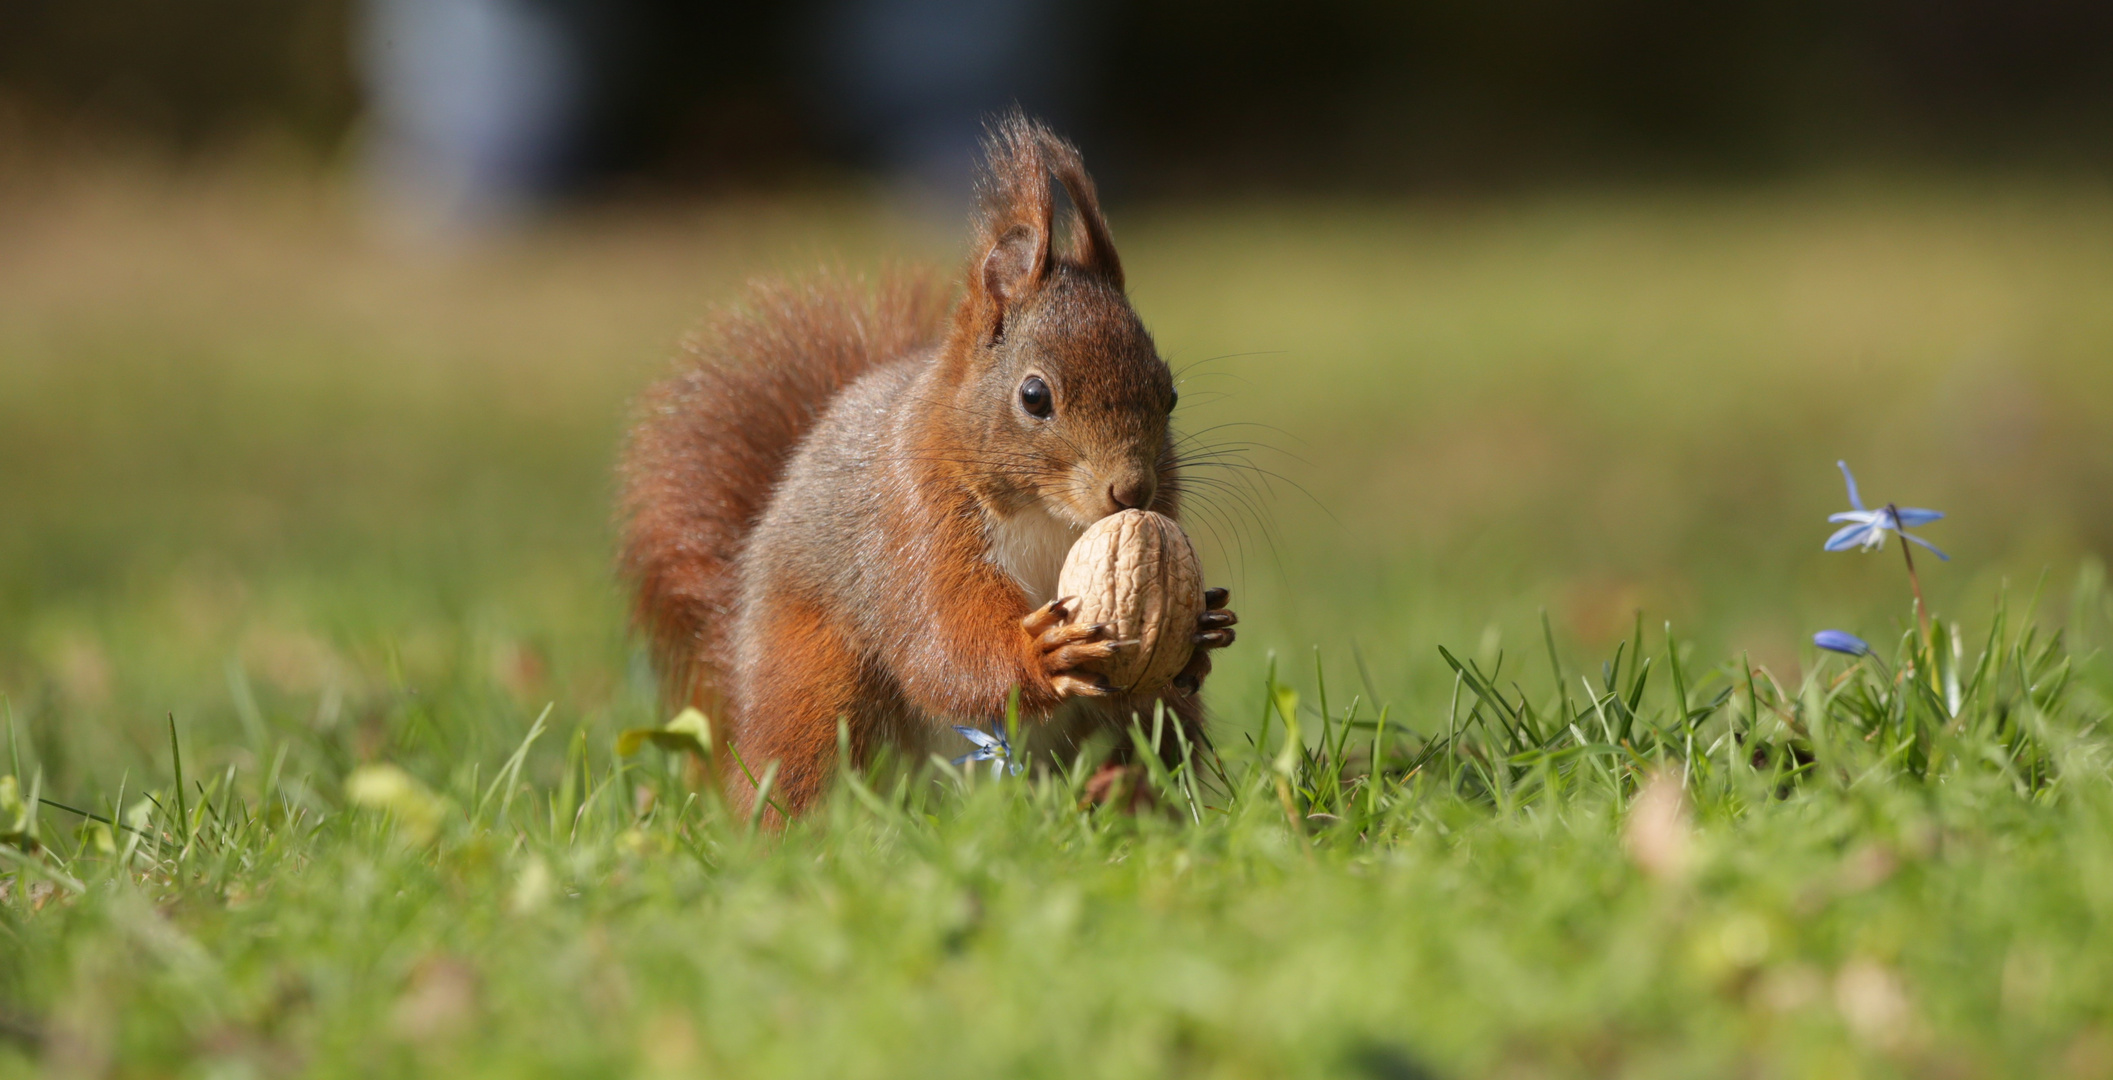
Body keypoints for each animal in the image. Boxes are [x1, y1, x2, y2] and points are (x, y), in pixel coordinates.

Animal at [612, 112, 1233, 820]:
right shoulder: (914, 524)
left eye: (1170, 395)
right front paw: (1041, 656)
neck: (1050, 517)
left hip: (1131, 722)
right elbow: (943, 640)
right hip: (811, 681)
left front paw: (1205, 626)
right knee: (798, 764)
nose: (1132, 490)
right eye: (1034, 396)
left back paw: (1120, 794)